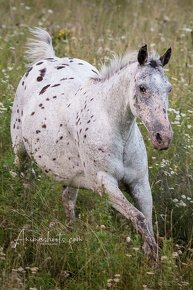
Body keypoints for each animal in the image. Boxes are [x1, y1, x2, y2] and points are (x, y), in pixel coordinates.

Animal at [10, 27, 172, 258]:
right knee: (27, 181)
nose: (163, 137)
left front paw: (153, 259)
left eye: (169, 89)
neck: (117, 132)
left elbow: (147, 221)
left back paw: (72, 234)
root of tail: (48, 57)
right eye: (142, 88)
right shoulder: (105, 184)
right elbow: (139, 218)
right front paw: (153, 258)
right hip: (21, 153)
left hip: (71, 176)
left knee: (68, 199)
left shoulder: (140, 183)